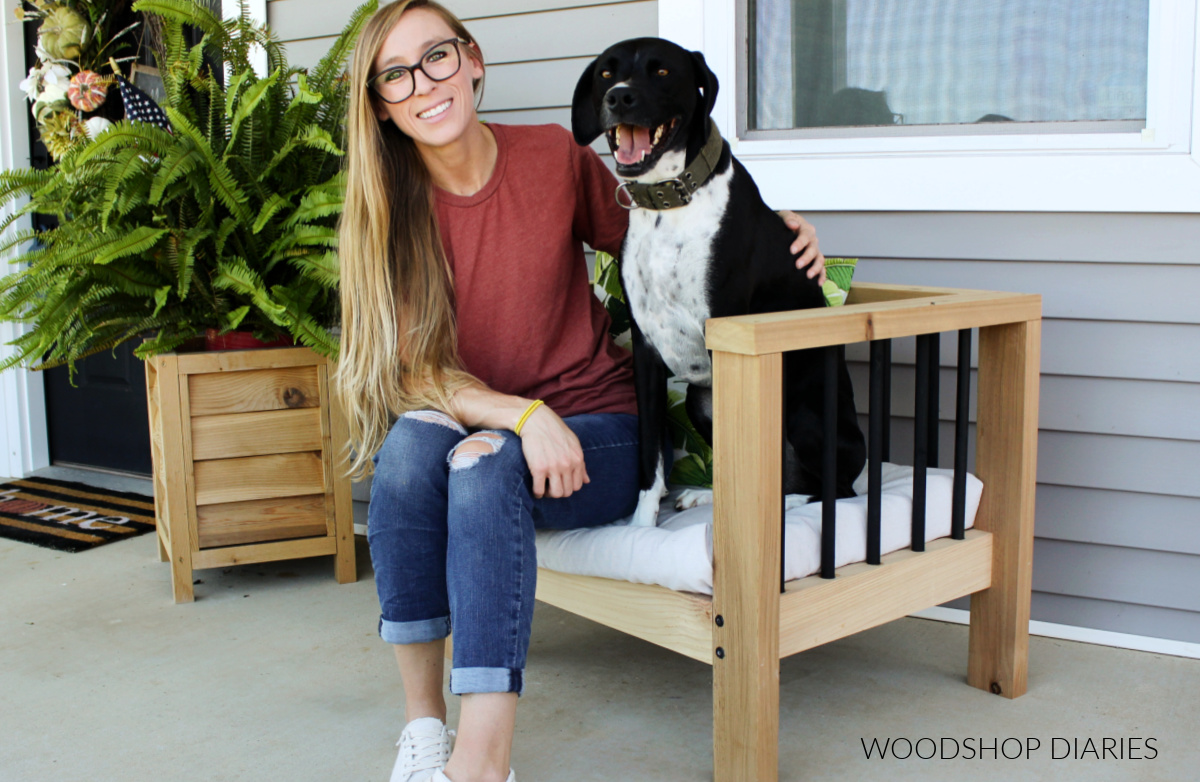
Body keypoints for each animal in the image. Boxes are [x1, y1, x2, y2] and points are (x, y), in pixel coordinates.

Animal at [571, 36, 864, 525]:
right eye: (606, 74)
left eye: (663, 72)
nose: (619, 98)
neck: (669, 204)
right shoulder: (646, 352)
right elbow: (650, 458)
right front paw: (642, 526)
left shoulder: (728, 335)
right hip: (698, 399)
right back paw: (702, 496)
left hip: (805, 414)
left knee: (833, 489)